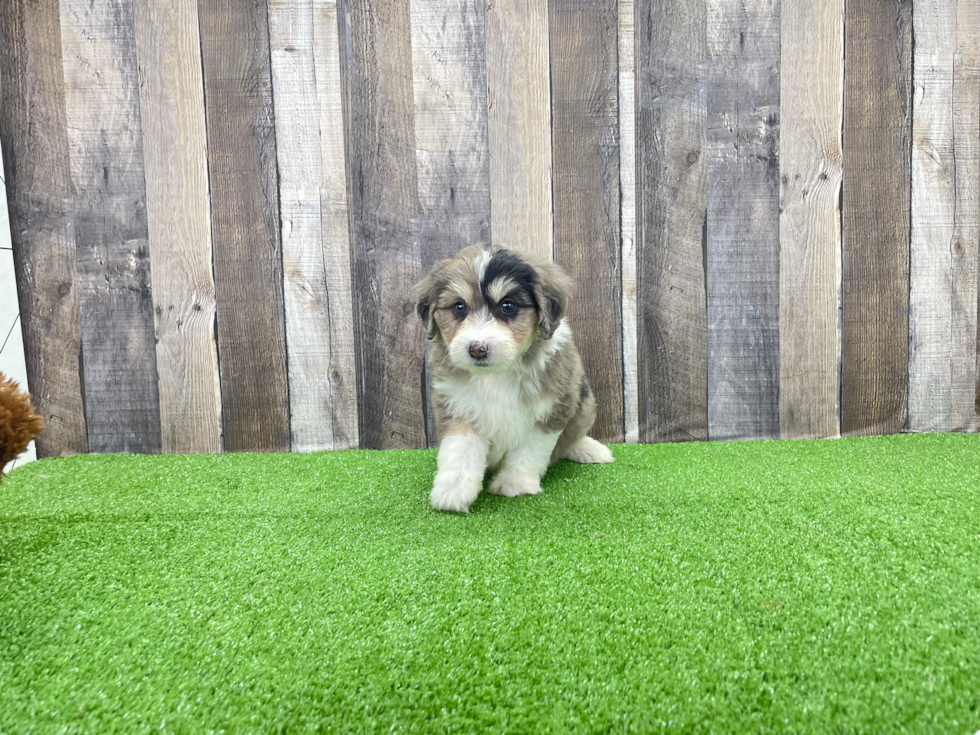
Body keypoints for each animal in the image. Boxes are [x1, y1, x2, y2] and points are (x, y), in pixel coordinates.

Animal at [412, 242, 612, 512]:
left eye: (508, 306)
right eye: (459, 307)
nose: (477, 349)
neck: (498, 373)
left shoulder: (552, 408)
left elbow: (530, 449)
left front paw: (514, 484)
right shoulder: (458, 406)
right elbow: (460, 451)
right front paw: (452, 490)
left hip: (585, 404)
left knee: (573, 436)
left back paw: (589, 449)